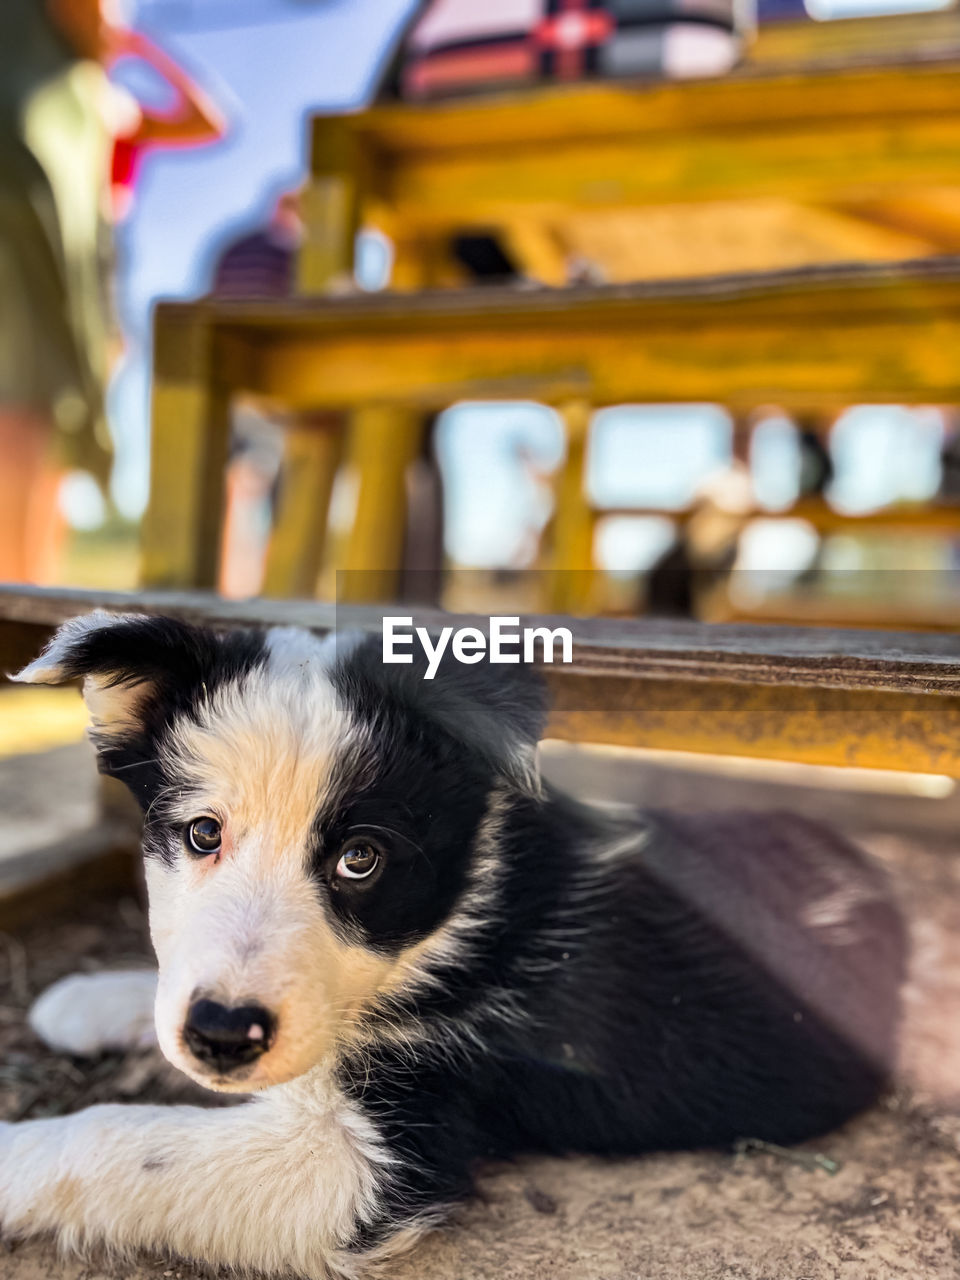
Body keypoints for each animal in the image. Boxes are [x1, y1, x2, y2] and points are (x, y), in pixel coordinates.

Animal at [5, 614, 901, 1274]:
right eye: (201, 834)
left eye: (360, 859)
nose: (223, 1035)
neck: (451, 922)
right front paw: (88, 1000)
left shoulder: (377, 1154)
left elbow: (116, 1137)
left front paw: (13, 1162)